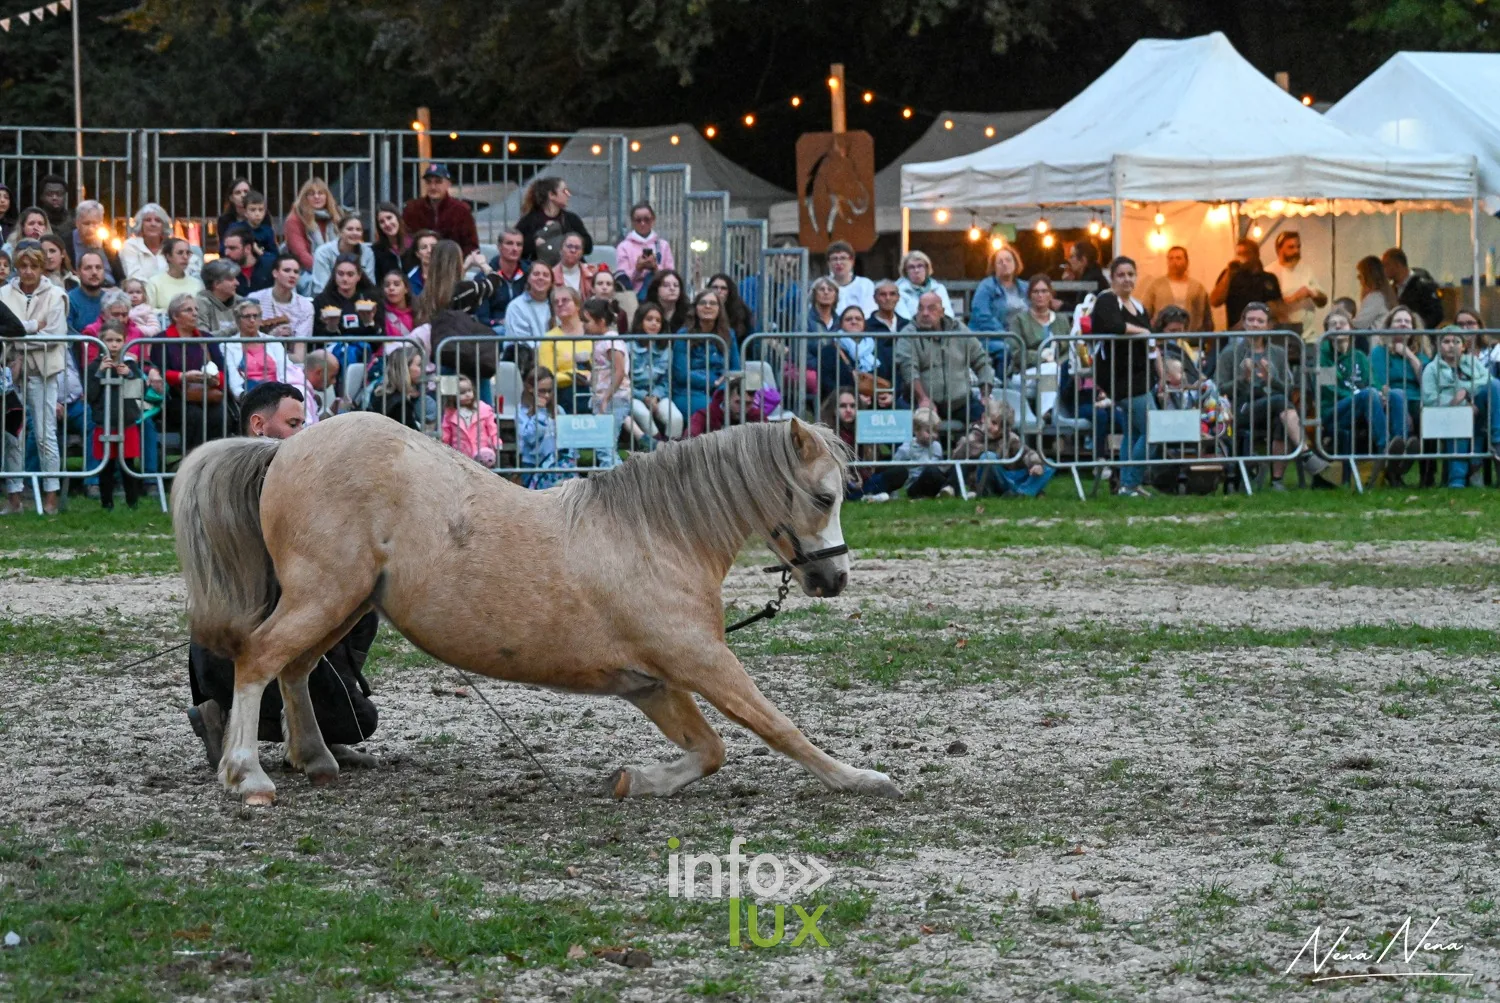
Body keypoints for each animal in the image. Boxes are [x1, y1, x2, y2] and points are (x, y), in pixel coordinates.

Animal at [172, 411, 903, 805]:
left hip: (344, 604)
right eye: (823, 496)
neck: (658, 535)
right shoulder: (702, 661)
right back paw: (247, 775)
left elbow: (712, 749)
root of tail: (286, 447)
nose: (834, 577)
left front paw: (634, 780)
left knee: (293, 669)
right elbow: (777, 727)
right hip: (324, 596)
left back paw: (316, 759)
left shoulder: (652, 684)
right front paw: (861, 778)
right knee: (259, 659)